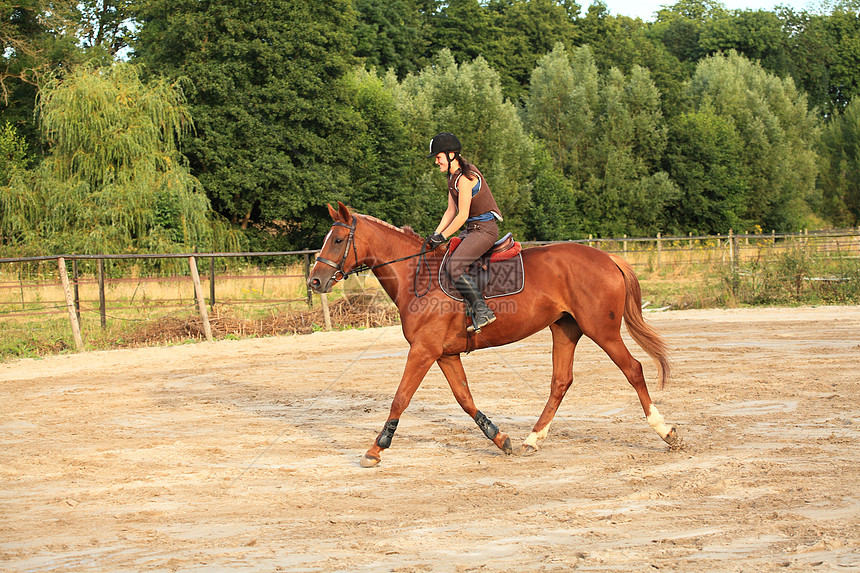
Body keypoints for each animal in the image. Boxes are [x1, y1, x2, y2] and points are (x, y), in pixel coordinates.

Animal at [308, 202, 682, 467]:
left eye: (338, 240)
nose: (314, 281)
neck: (416, 275)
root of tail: (607, 257)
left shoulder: (423, 350)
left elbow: (401, 397)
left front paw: (376, 449)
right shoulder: (445, 354)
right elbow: (464, 398)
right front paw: (499, 438)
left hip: (601, 330)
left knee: (633, 370)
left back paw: (666, 432)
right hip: (565, 328)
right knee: (561, 382)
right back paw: (533, 439)